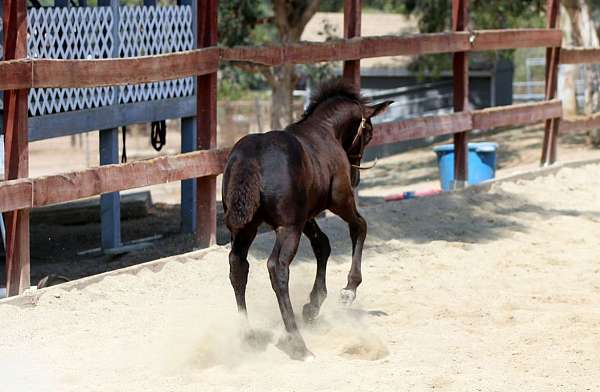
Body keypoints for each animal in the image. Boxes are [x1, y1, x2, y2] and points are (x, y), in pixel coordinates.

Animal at [223, 80, 392, 362]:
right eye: (368, 133)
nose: (355, 177)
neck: (326, 131)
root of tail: (251, 158)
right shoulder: (339, 201)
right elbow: (359, 226)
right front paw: (349, 289)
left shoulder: (306, 215)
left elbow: (322, 245)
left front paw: (313, 305)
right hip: (287, 228)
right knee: (277, 268)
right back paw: (298, 344)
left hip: (247, 228)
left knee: (238, 266)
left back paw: (248, 336)